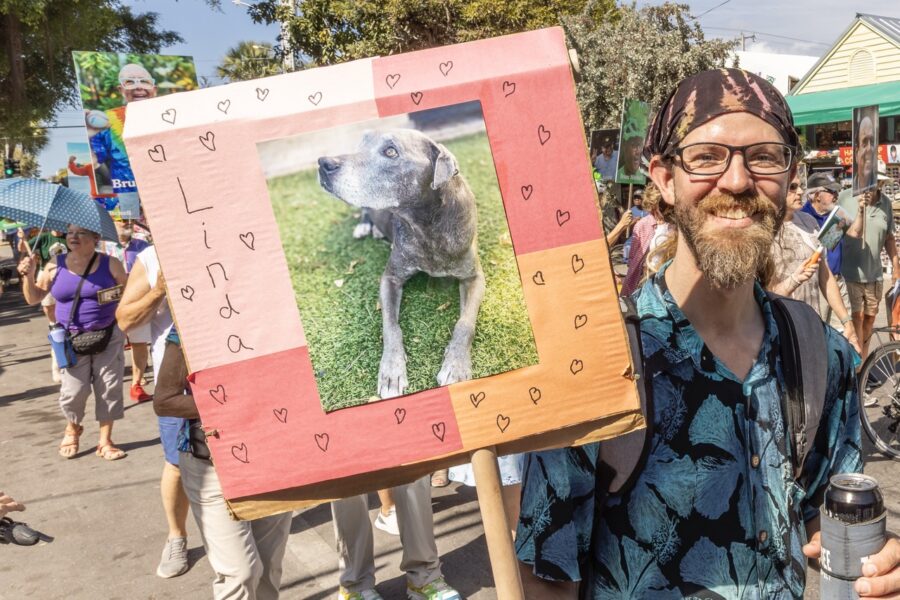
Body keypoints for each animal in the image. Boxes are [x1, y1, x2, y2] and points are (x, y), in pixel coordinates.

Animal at [318, 129, 486, 399]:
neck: (427, 224)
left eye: (390, 151)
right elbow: (391, 327)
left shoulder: (474, 277)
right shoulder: (390, 278)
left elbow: (465, 323)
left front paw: (456, 365)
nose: (323, 163)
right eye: (361, 144)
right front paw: (391, 371)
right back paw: (366, 227)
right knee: (364, 211)